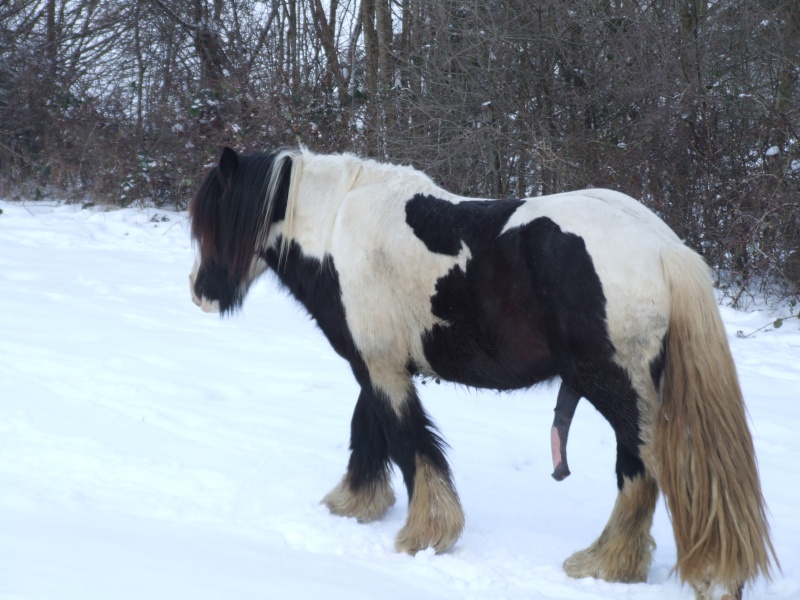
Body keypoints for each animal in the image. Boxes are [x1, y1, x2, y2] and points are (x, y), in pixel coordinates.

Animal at [188, 146, 776, 600]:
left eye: (216, 222)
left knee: (655, 472)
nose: (201, 293)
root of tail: (664, 248)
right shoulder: (380, 362)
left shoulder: (378, 366)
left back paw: (646, 568)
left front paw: (425, 536)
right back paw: (614, 565)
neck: (338, 229)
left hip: (618, 390)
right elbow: (369, 431)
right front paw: (354, 504)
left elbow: (407, 442)